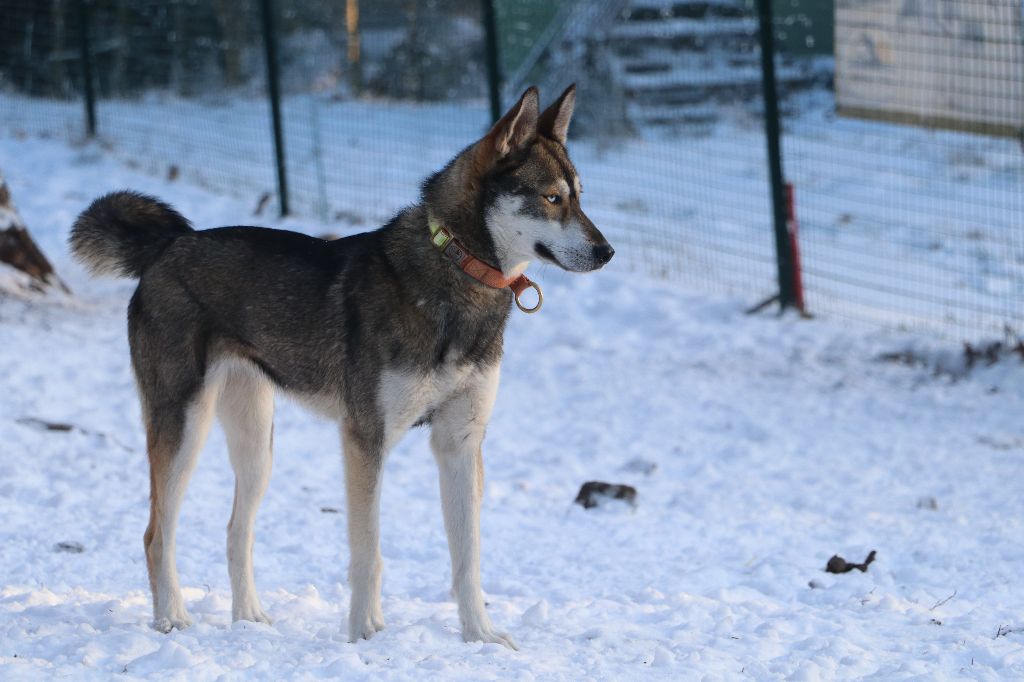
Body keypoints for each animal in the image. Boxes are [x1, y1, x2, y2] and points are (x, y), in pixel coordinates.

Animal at [72, 86, 614, 647]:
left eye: (580, 196)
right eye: (551, 198)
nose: (607, 251)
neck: (456, 275)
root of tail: (168, 246)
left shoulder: (460, 443)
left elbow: (468, 557)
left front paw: (480, 635)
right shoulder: (365, 439)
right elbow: (368, 551)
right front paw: (366, 631)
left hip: (257, 445)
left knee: (236, 532)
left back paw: (249, 619)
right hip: (183, 427)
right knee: (156, 533)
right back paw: (171, 618)